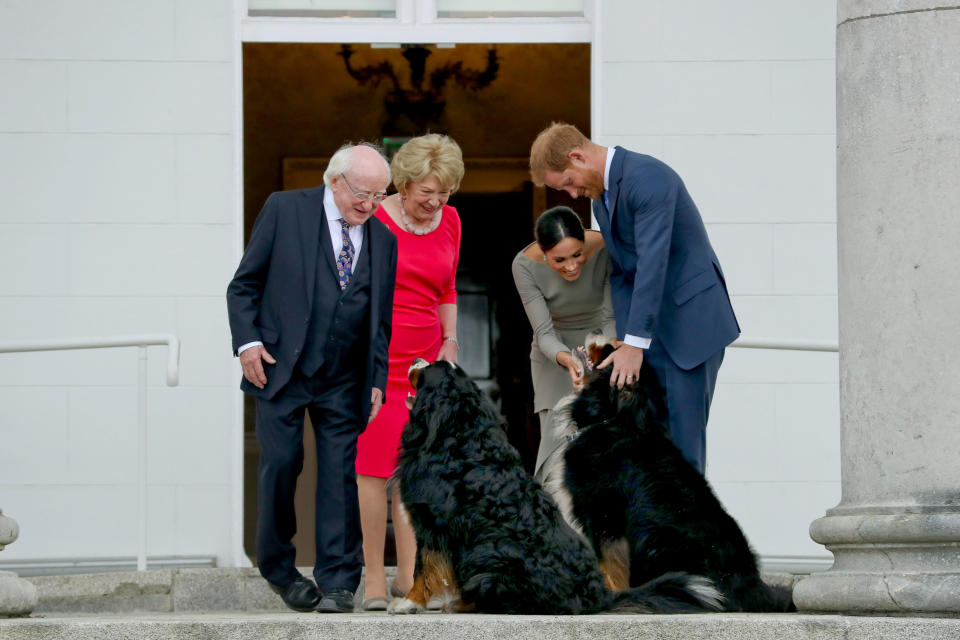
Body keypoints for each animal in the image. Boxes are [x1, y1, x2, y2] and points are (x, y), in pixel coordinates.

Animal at [382, 360, 720, 616]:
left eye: (428, 369)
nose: (415, 359)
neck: (456, 434)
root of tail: (599, 595)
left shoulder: (432, 523)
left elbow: (423, 566)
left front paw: (408, 602)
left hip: (488, 558)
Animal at [544, 332, 800, 612]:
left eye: (610, 352)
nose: (599, 331)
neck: (614, 419)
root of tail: (752, 591)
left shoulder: (601, 515)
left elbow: (607, 564)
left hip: (656, 540)